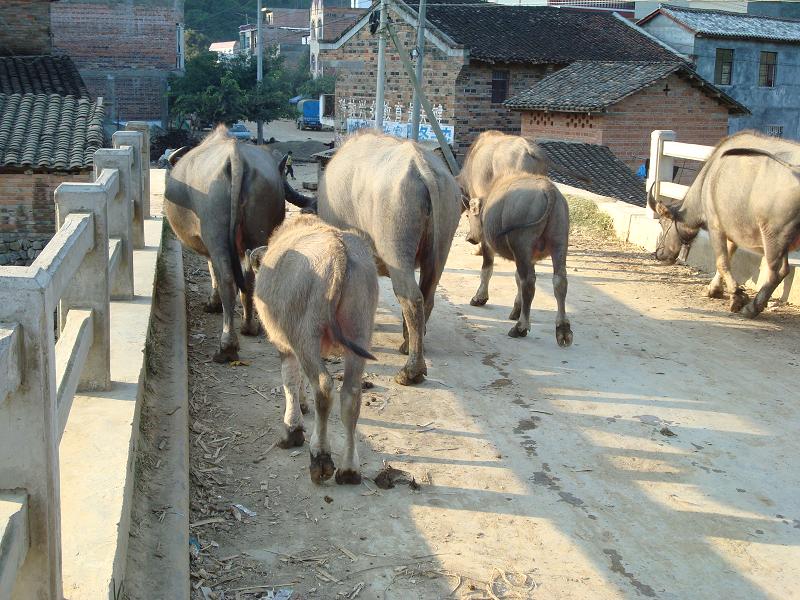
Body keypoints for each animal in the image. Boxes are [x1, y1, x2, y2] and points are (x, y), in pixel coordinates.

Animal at [163, 126, 312, 360]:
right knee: (251, 277)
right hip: (258, 228)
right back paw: (249, 326)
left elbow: (212, 270)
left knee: (226, 278)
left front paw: (212, 303)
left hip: (214, 228)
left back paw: (227, 345)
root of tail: (235, 157)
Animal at [250, 213, 378, 486]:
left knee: (323, 387)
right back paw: (349, 469)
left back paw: (320, 457)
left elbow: (289, 379)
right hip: (360, 332)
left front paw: (293, 428)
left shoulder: (284, 344)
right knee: (351, 394)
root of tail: (338, 251)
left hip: (306, 335)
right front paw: (301, 404)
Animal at [316, 131, 460, 384]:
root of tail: (424, 168)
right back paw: (408, 345)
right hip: (446, 219)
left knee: (409, 294)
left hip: (395, 217)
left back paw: (410, 373)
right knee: (429, 287)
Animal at [466, 171, 572, 344]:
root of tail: (549, 190)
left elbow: (487, 270)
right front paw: (517, 308)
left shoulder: (488, 244)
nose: (469, 237)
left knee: (528, 282)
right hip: (559, 242)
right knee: (559, 281)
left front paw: (479, 298)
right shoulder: (530, 257)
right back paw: (563, 329)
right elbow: (517, 279)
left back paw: (520, 327)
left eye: (468, 215)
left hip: (522, 244)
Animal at [652, 130, 796, 318]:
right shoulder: (733, 228)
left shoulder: (716, 226)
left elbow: (722, 261)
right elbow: (729, 253)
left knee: (776, 271)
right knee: (783, 270)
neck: (708, 179)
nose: (659, 253)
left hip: (773, 234)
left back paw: (752, 308)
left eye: (663, 223)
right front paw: (714, 289)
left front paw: (736, 296)